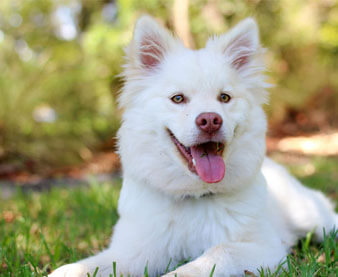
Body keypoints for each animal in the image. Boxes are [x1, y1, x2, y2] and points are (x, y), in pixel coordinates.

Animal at [50, 16, 338, 274]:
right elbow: (82, 267)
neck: (195, 197)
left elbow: (213, 255)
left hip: (311, 217)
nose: (210, 120)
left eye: (225, 97)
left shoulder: (264, 249)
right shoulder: (134, 251)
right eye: (178, 98)